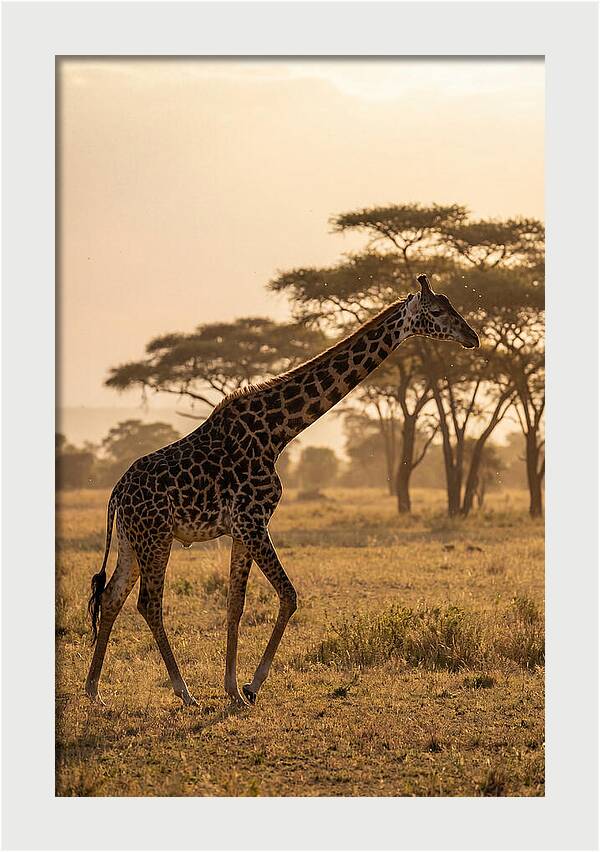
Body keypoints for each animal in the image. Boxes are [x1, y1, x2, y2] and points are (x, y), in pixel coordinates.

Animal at [85, 274, 479, 707]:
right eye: (438, 311)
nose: (472, 337)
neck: (277, 432)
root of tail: (116, 493)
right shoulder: (253, 520)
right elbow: (289, 595)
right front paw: (251, 685)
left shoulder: (241, 528)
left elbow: (235, 604)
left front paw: (232, 689)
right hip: (156, 537)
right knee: (148, 603)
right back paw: (184, 692)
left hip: (132, 540)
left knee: (112, 596)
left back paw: (93, 690)